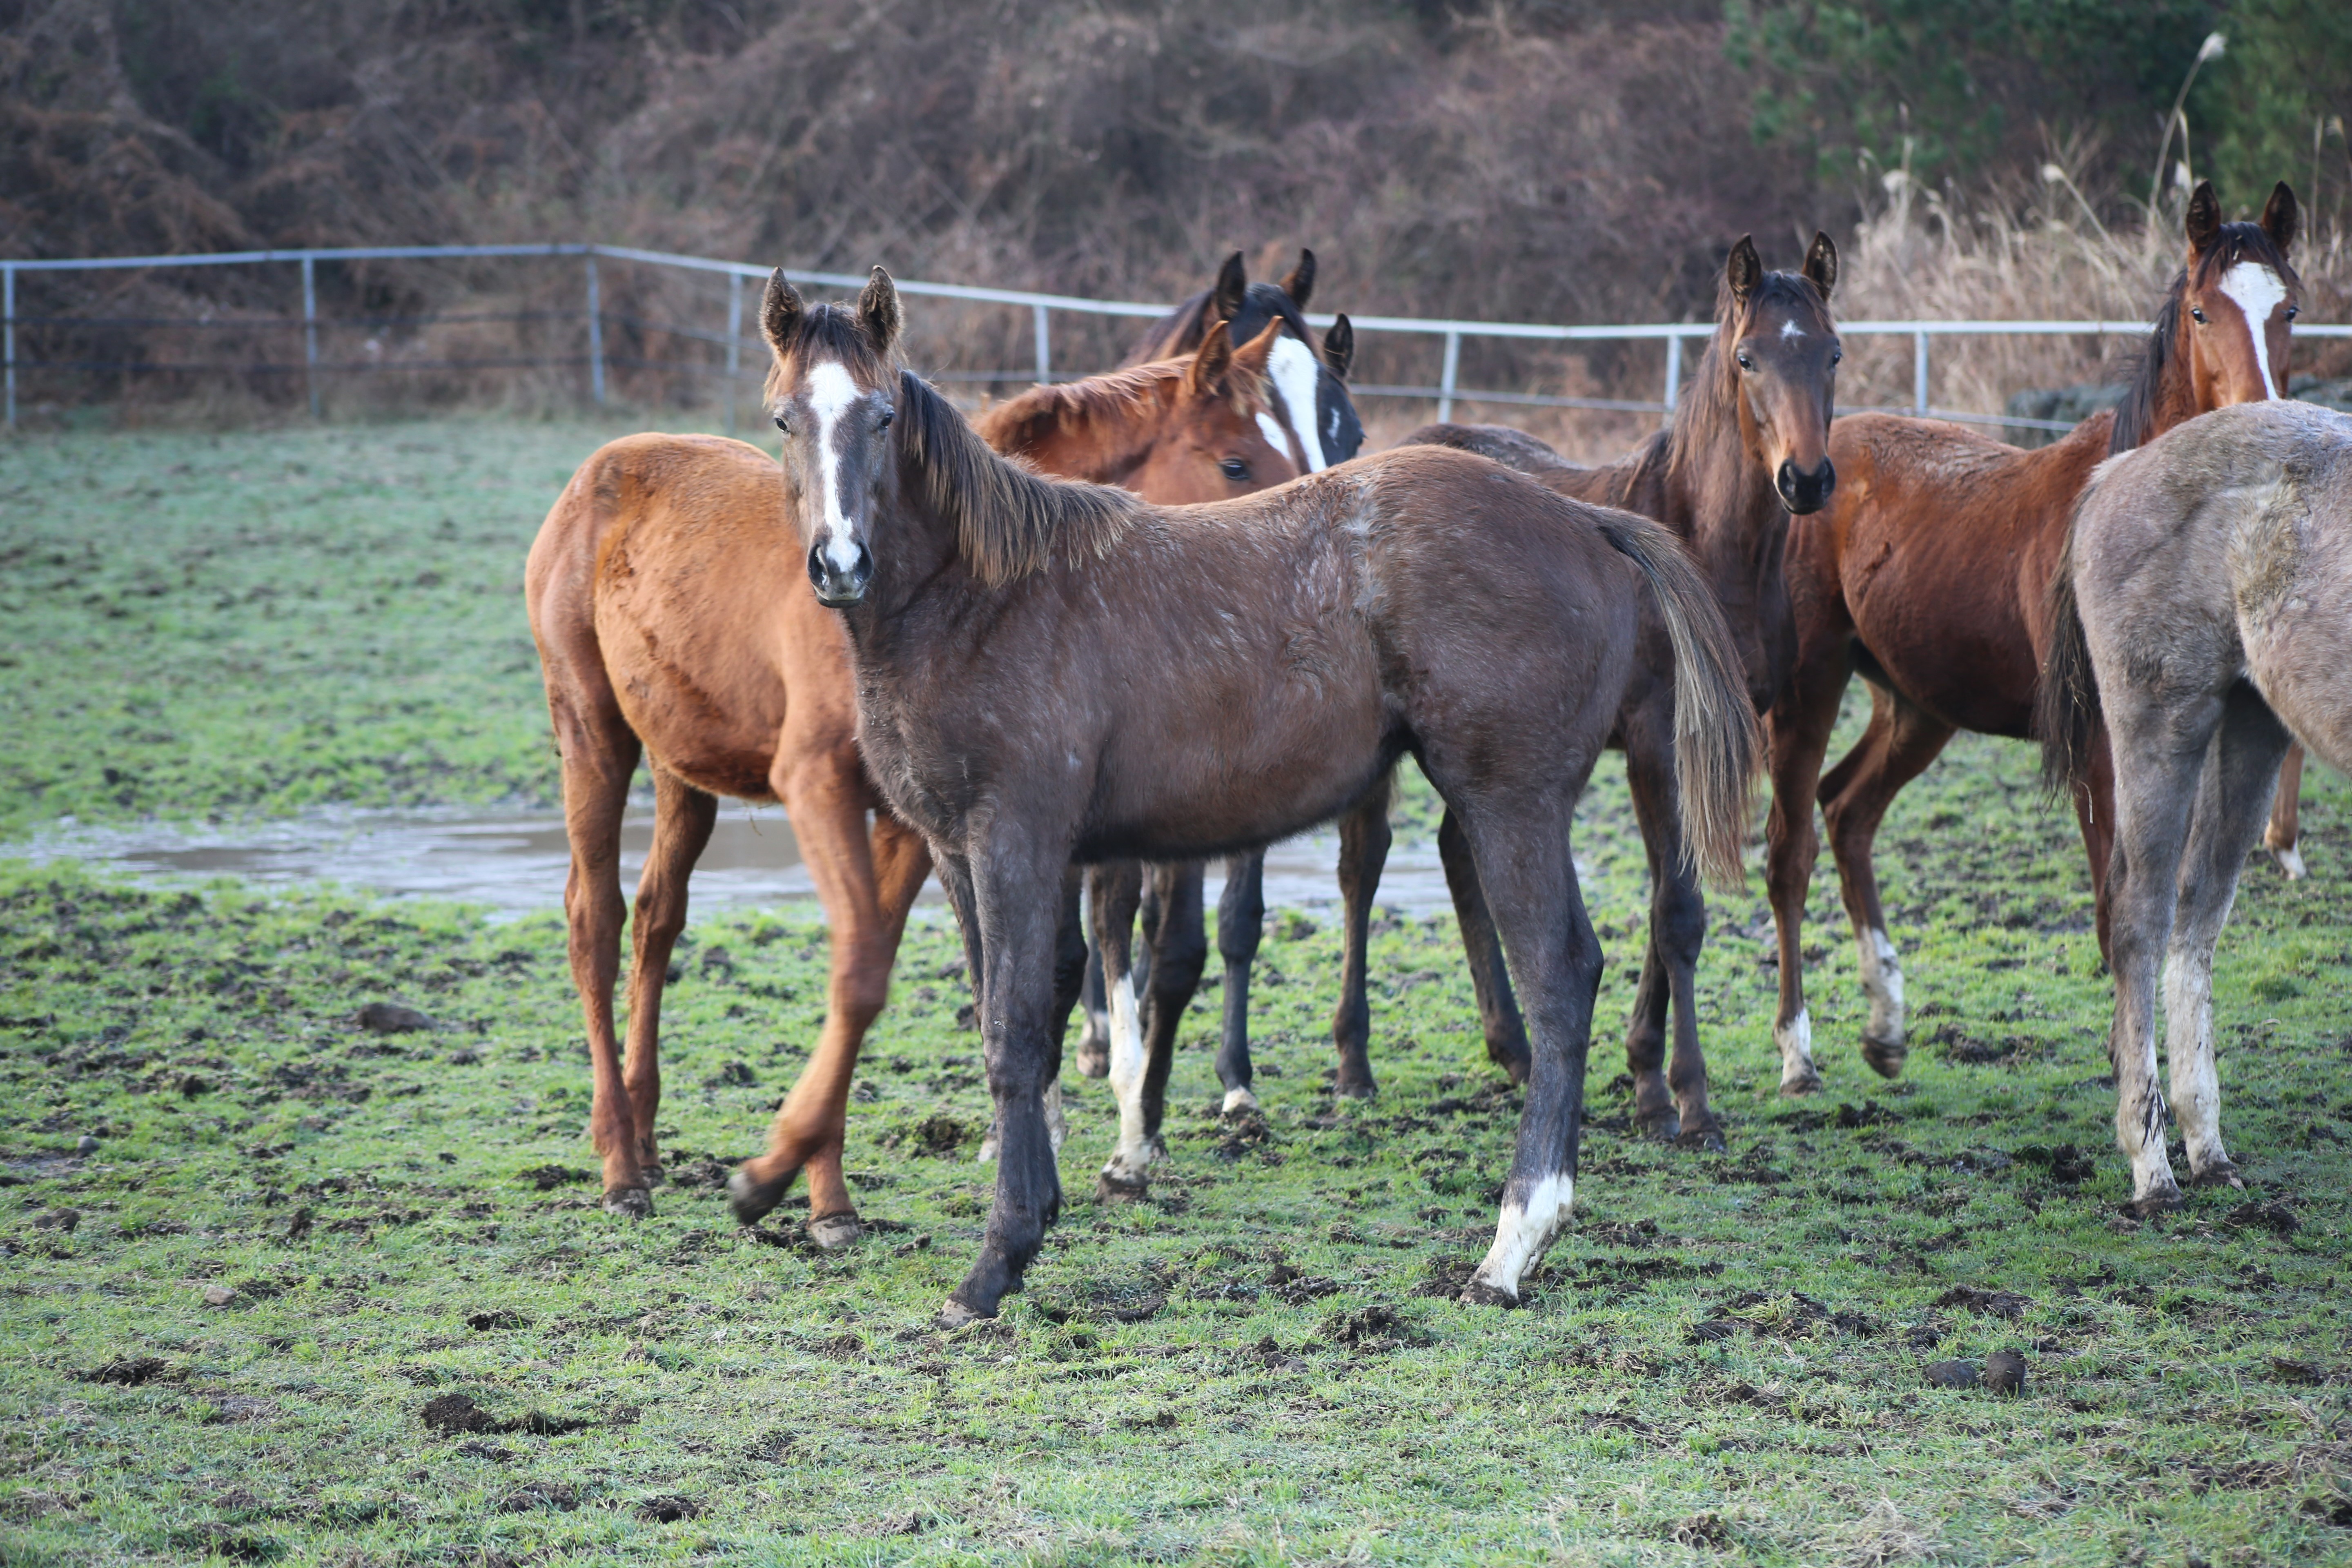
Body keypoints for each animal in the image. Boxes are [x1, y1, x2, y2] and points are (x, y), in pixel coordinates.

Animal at [519, 324, 1307, 1222]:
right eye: (1237, 461)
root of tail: (599, 472)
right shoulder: (881, 804)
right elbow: (951, 962)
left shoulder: (928, 817)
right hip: (592, 736)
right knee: (596, 922)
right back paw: (620, 1165)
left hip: (684, 771)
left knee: (657, 918)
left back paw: (649, 1144)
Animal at [753, 270, 1768, 1326]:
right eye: (783, 417)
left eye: (880, 416)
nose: (839, 565)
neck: (984, 599)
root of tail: (1582, 520)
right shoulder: (961, 853)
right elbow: (1029, 1018)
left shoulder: (1017, 843)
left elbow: (1016, 1030)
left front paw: (996, 1261)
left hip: (1512, 803)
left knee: (1559, 980)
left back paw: (1510, 1246)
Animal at [1383, 232, 1844, 1147]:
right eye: (1748, 358)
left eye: (1834, 354)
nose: (1806, 480)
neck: (1706, 547)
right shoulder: (1659, 740)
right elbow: (1678, 913)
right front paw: (1686, 1099)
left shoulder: (1716, 737)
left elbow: (1673, 900)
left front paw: (1644, 1075)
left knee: (1457, 850)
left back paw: (1516, 1048)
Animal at [1768, 181, 2295, 1091]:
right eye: (2202, 312)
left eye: (2291, 308)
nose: (2257, 423)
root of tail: (1802, 468)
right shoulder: (2096, 750)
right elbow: (2118, 909)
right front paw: (2135, 1077)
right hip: (1809, 688)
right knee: (1791, 848)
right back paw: (1799, 1053)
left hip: (1917, 705)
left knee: (1848, 813)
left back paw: (1887, 1030)